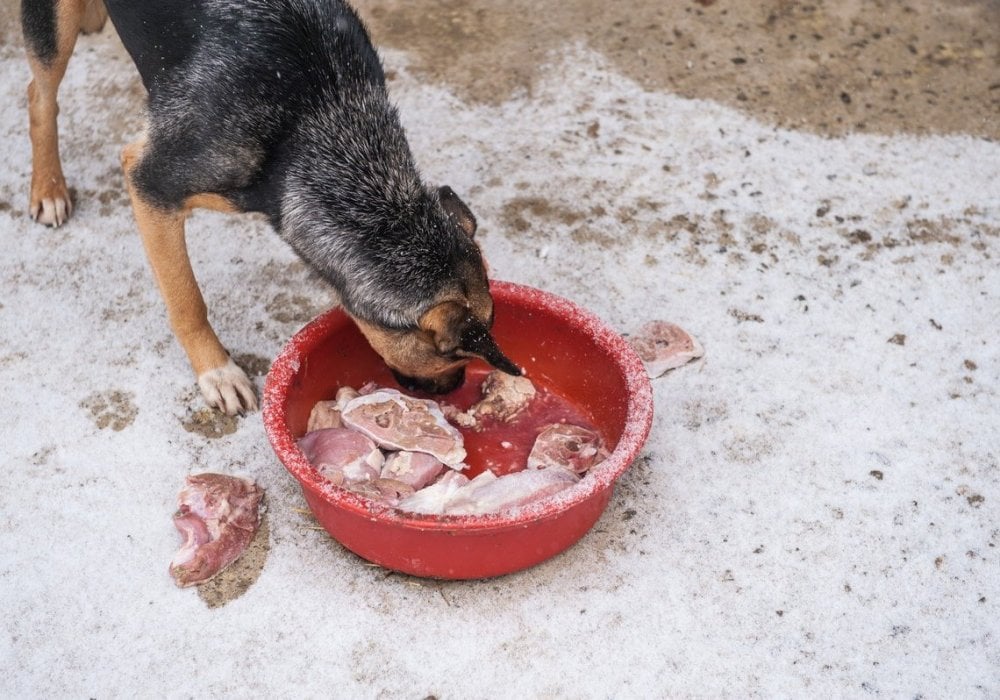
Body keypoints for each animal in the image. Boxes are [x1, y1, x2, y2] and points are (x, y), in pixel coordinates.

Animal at [19, 0, 520, 416]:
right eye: (452, 356)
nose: (452, 390)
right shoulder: (151, 183)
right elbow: (187, 299)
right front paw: (217, 371)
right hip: (53, 25)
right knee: (39, 94)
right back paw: (48, 187)